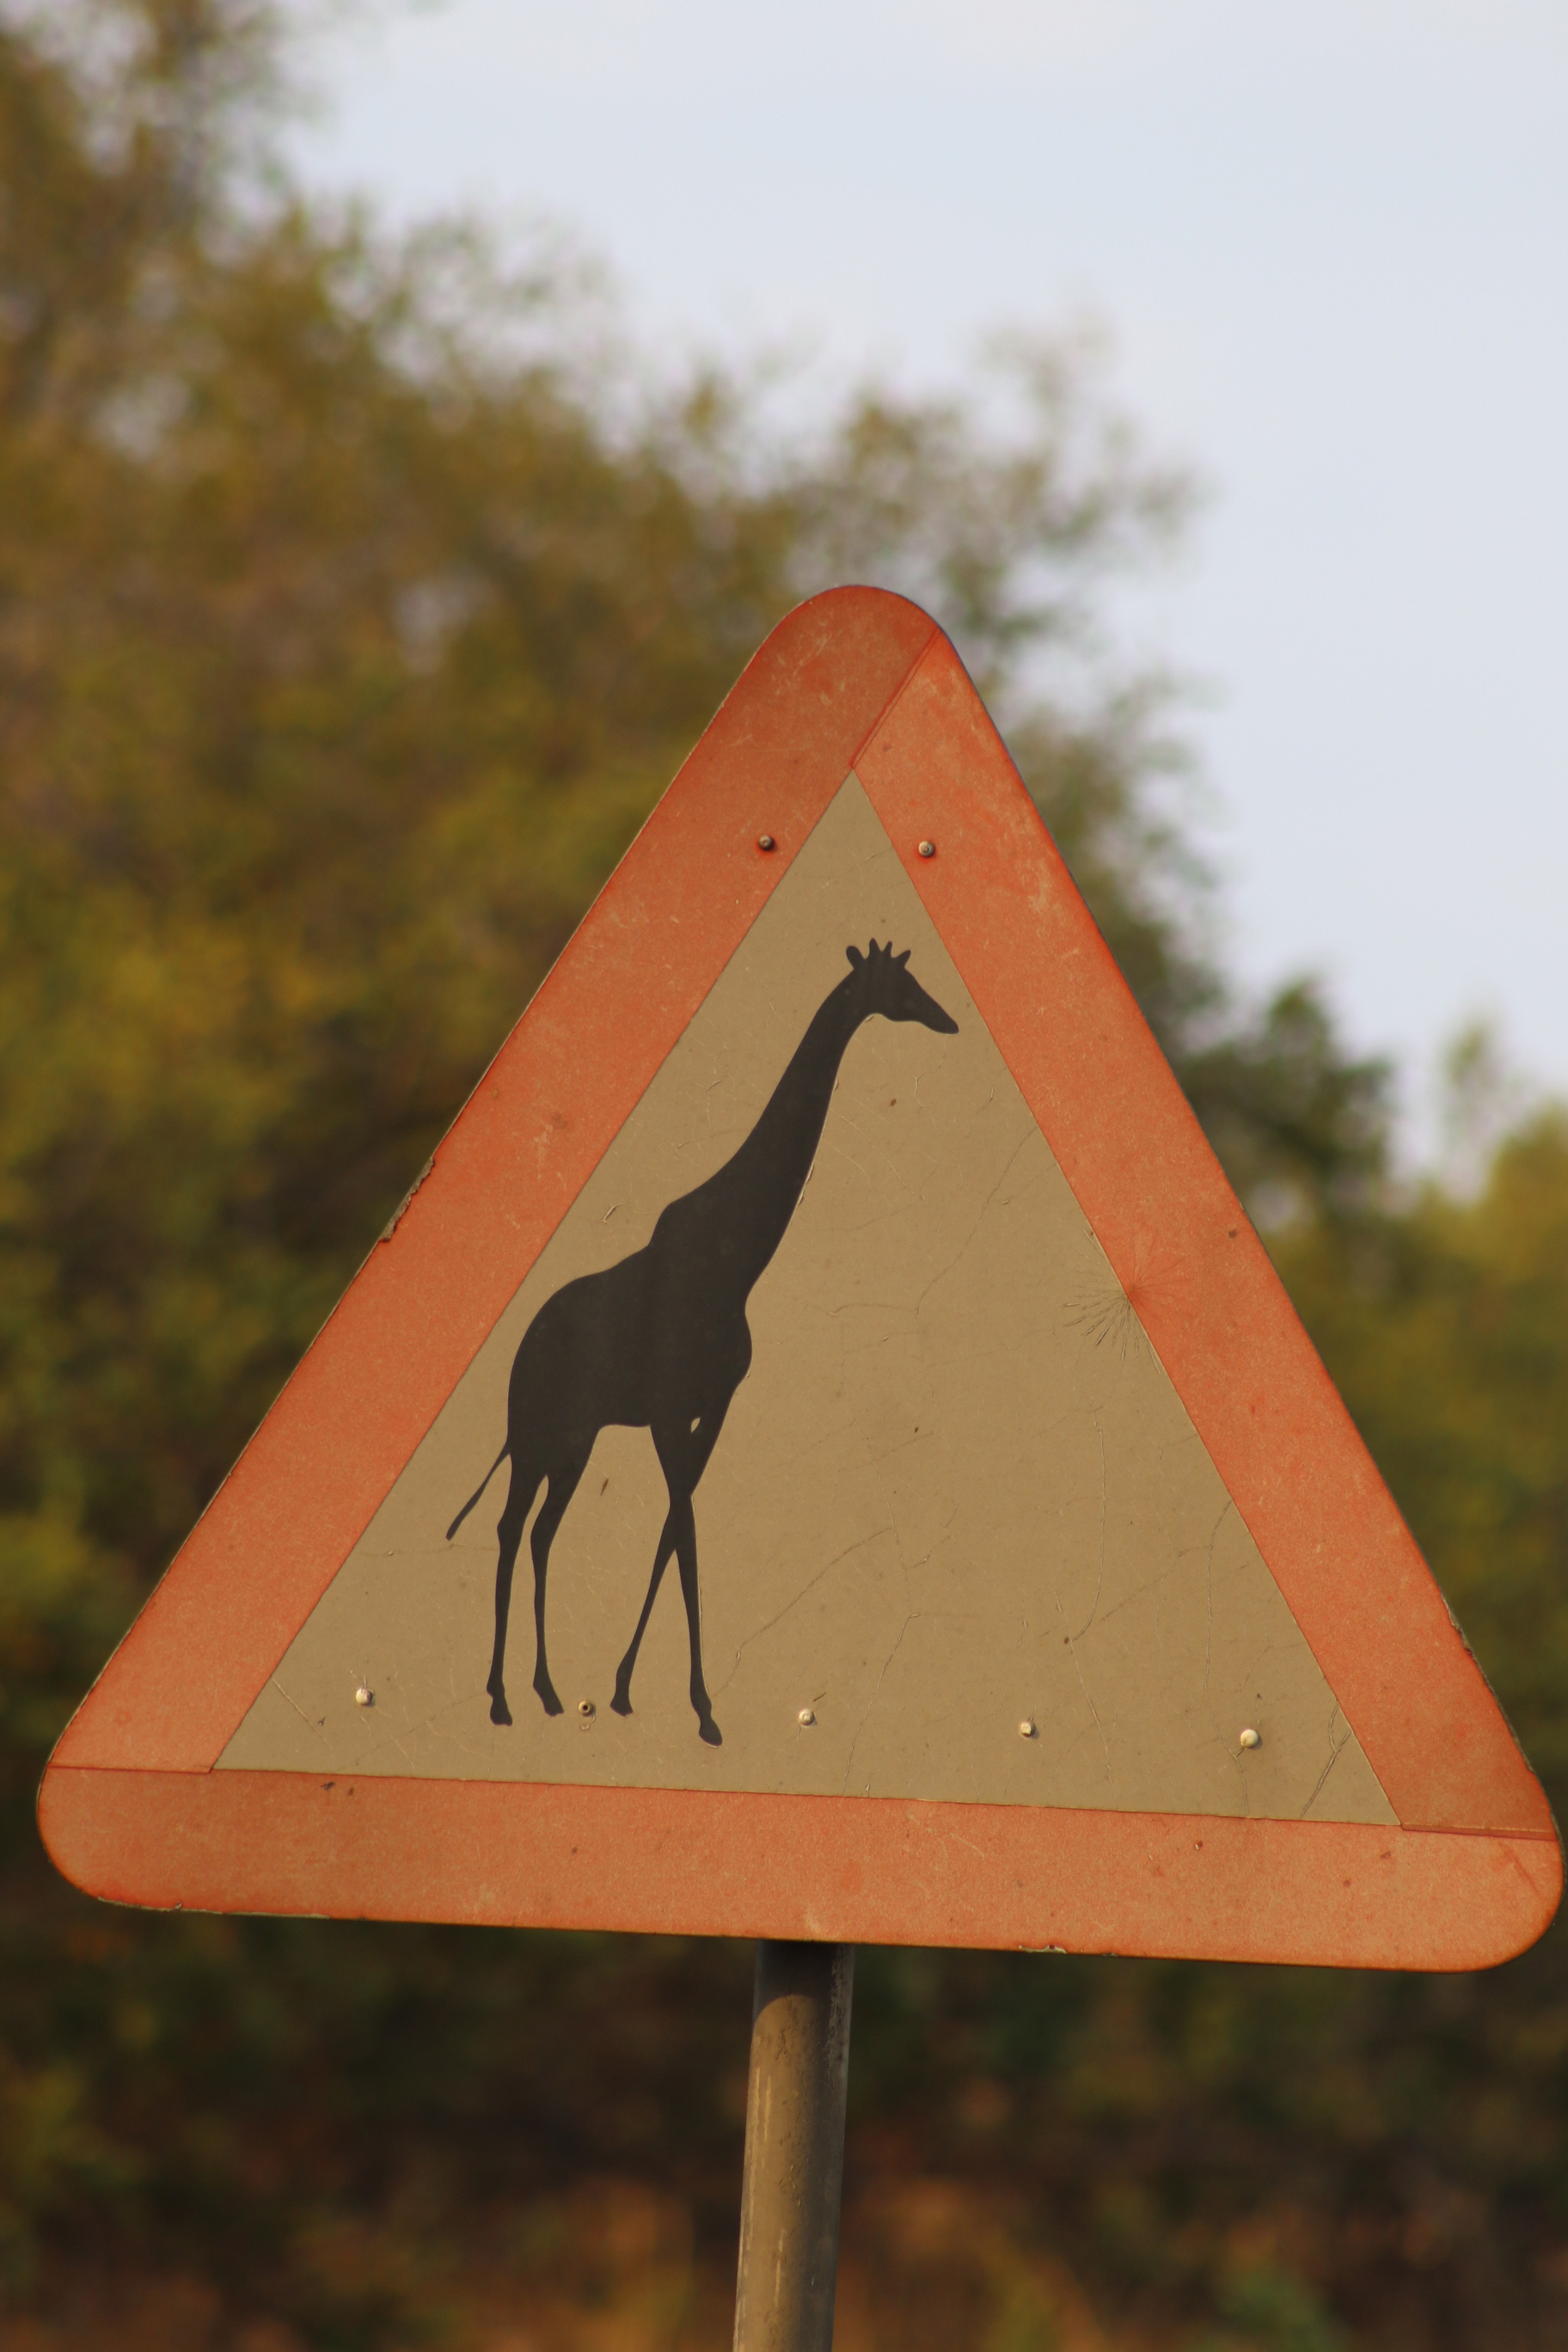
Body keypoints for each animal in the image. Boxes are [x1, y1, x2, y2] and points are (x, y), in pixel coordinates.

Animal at [445, 940, 959, 1743]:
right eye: (899, 983)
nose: (950, 1021)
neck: (737, 1256)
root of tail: (522, 1347)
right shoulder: (666, 1408)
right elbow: (683, 1533)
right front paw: (695, 1704)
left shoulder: (714, 1405)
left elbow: (673, 1530)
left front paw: (635, 1687)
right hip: (532, 1437)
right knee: (507, 1529)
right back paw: (500, 1699)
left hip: (574, 1441)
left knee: (541, 1533)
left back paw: (549, 1692)